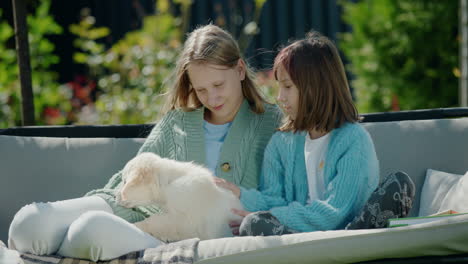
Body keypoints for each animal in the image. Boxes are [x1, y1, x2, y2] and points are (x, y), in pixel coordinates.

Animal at [116, 153, 245, 241]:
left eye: (124, 181)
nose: (115, 197)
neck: (169, 182)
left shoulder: (187, 221)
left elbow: (156, 221)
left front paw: (136, 226)